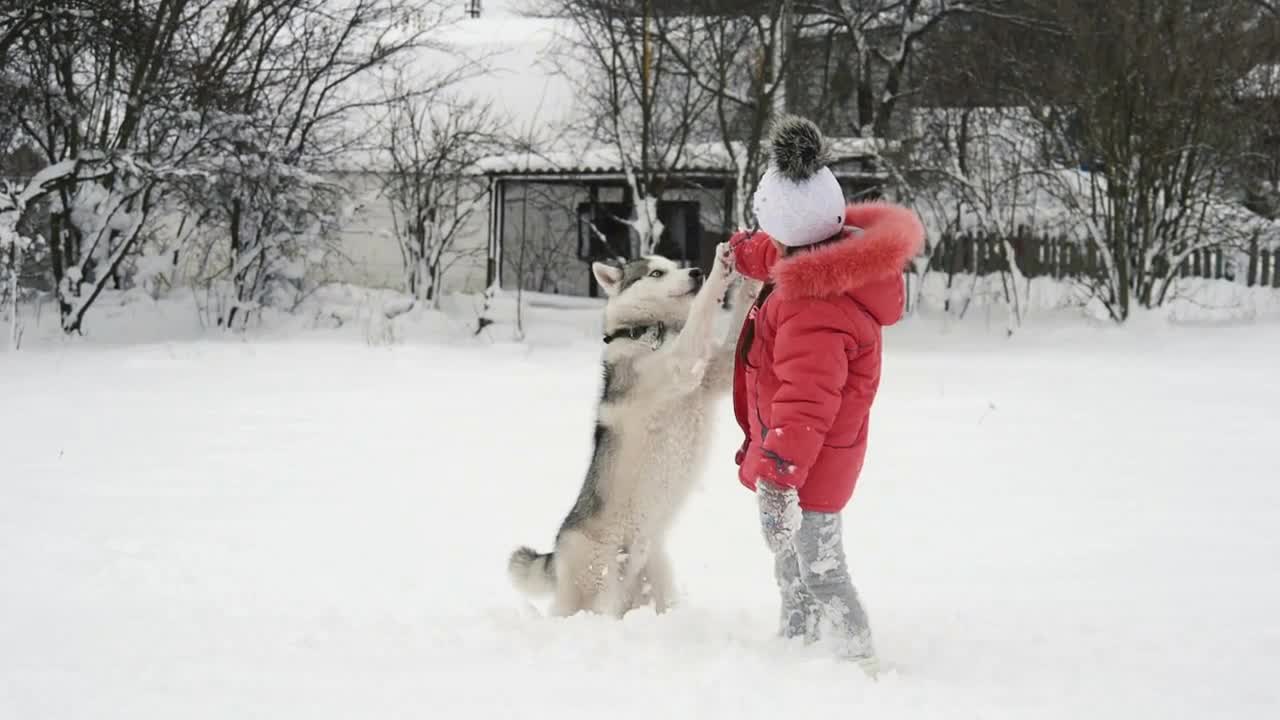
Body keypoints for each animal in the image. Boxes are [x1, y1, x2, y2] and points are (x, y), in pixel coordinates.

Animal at [506, 243, 752, 614]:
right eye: (656, 273)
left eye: (675, 264)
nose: (696, 272)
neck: (652, 331)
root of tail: (557, 549)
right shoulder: (682, 364)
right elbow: (702, 311)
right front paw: (719, 271)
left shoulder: (716, 371)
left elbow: (738, 324)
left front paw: (752, 276)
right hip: (600, 585)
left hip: (655, 579)